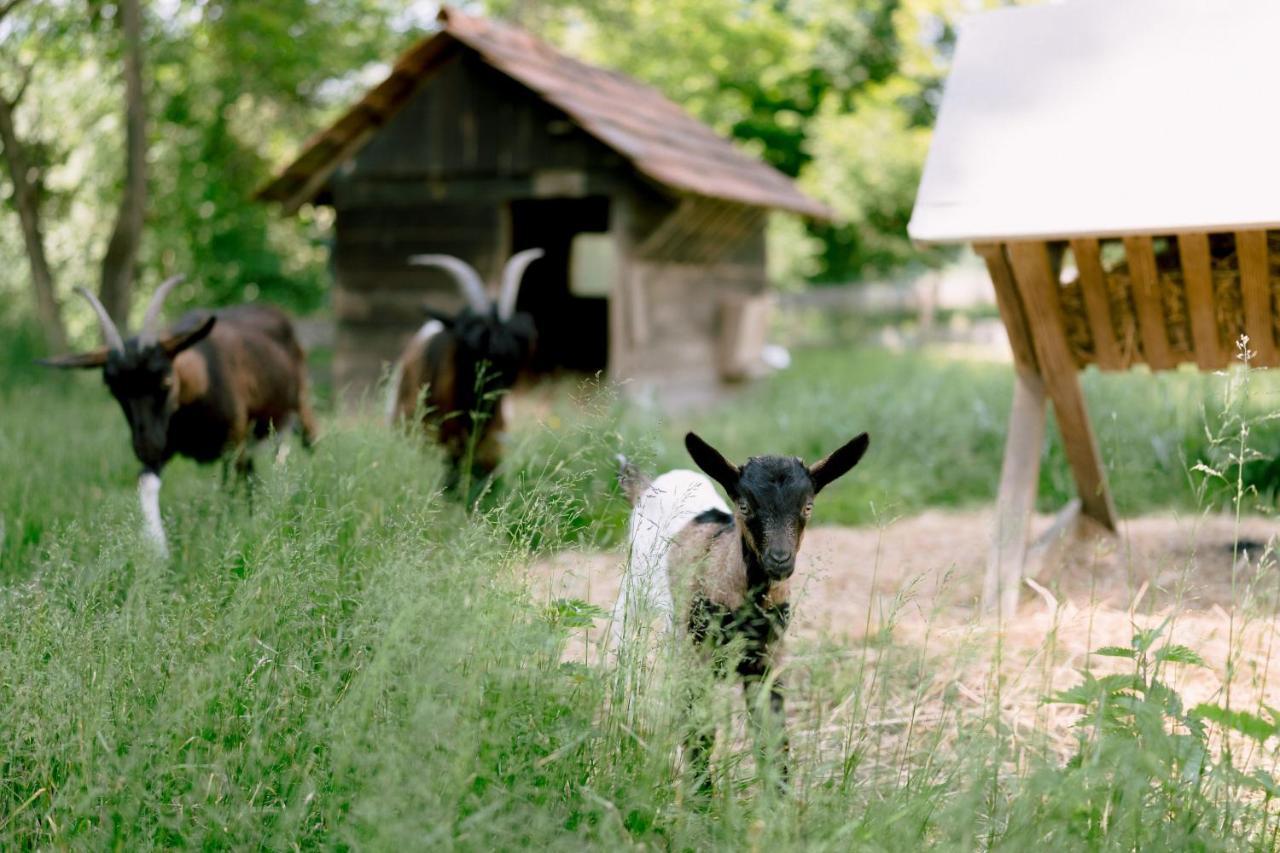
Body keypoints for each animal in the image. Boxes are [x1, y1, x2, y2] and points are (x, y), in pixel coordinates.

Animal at [41, 279, 320, 555]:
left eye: (165, 380)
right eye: (113, 389)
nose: (146, 447)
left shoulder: (232, 441)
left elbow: (228, 488)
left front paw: (227, 530)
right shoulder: (168, 441)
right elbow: (147, 482)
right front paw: (158, 551)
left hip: (299, 405)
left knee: (304, 445)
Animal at [611, 427, 870, 788]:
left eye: (807, 506)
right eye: (745, 506)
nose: (779, 559)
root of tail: (647, 484)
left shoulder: (767, 658)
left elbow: (772, 735)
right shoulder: (697, 655)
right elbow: (700, 731)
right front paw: (701, 797)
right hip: (634, 592)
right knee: (625, 657)